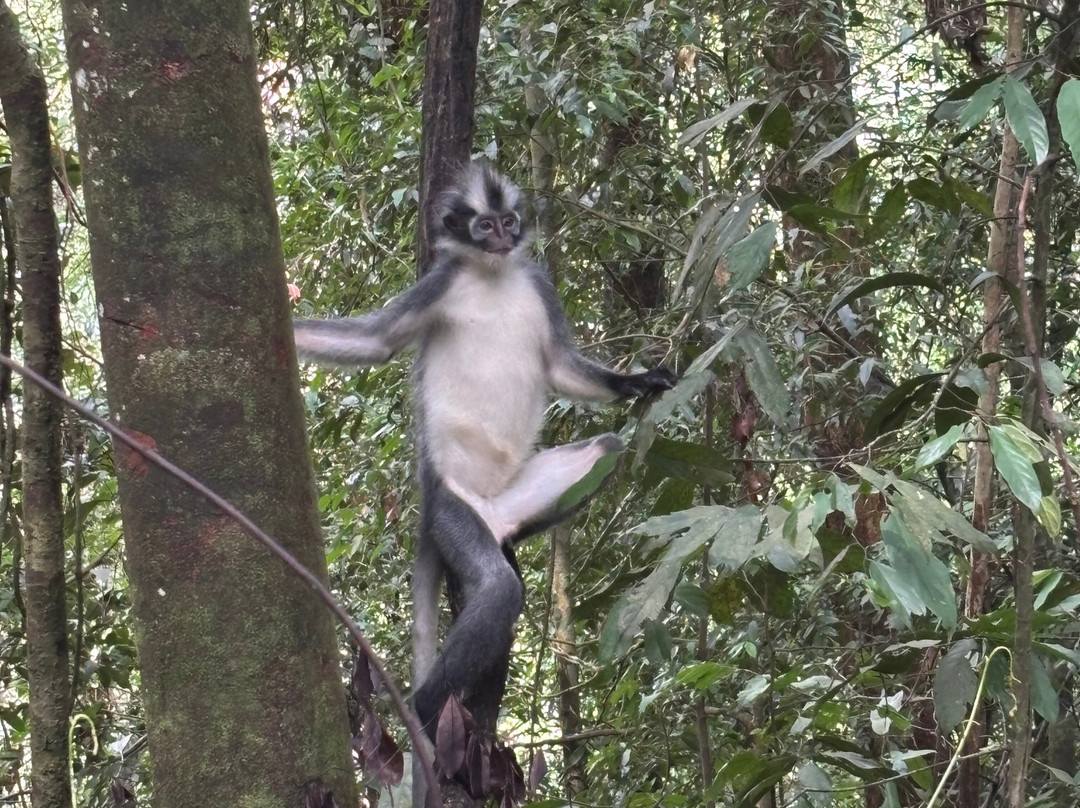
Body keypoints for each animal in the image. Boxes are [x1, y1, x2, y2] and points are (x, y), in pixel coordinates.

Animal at [292, 163, 675, 748]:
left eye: (509, 221)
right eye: (485, 224)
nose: (502, 238)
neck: (493, 274)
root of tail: (486, 515)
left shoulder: (537, 282)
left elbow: (561, 366)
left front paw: (639, 380)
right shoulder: (440, 281)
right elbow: (376, 343)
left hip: (520, 498)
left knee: (606, 449)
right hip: (453, 512)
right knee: (496, 590)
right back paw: (426, 707)